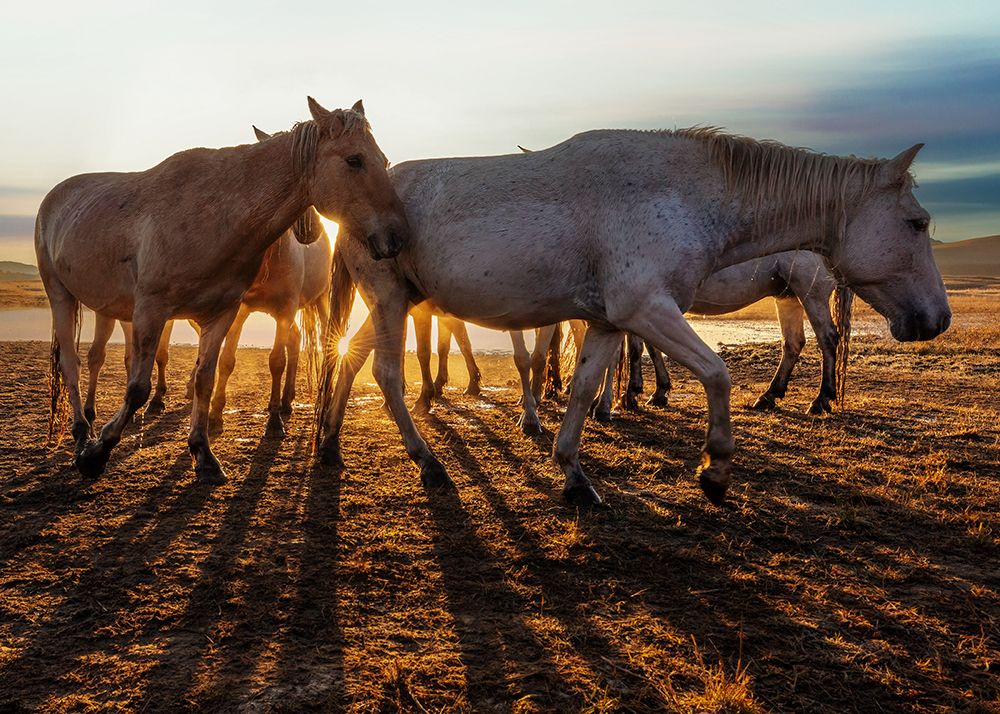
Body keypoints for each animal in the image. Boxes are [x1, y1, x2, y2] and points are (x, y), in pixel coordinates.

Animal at [37, 97, 408, 482]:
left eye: (383, 160)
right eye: (354, 160)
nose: (398, 236)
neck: (214, 215)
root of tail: (55, 197)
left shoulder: (222, 314)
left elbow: (206, 378)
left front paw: (203, 452)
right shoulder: (151, 311)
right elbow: (138, 388)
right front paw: (98, 452)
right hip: (60, 294)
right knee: (71, 363)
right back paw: (82, 434)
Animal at [316, 127, 950, 507]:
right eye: (916, 223)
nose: (937, 319)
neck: (685, 196)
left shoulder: (607, 322)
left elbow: (581, 389)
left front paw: (574, 473)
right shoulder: (645, 309)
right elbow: (715, 373)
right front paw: (715, 470)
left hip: (396, 302)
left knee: (349, 359)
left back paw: (329, 443)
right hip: (390, 301)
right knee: (386, 375)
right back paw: (427, 463)